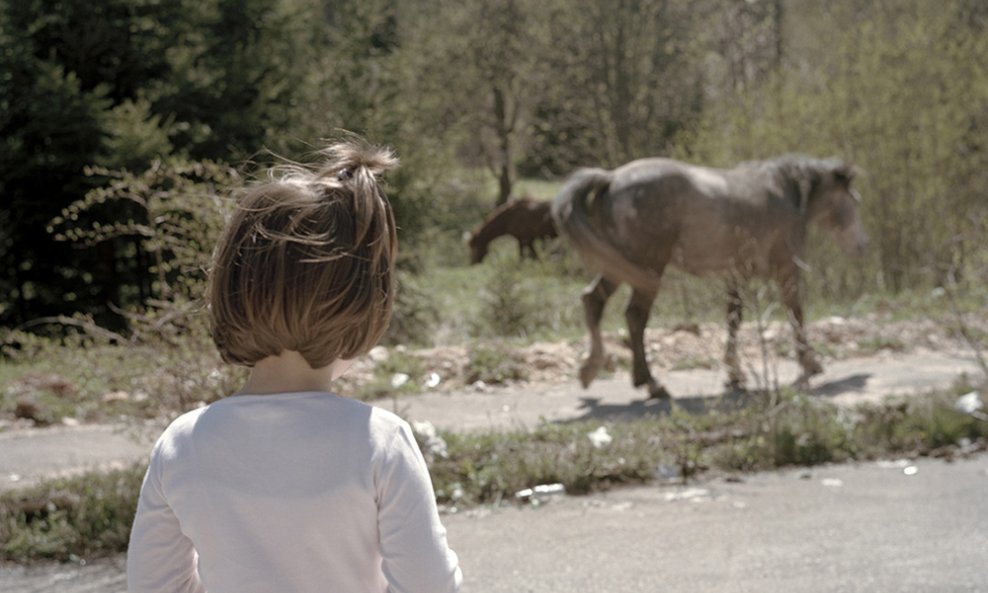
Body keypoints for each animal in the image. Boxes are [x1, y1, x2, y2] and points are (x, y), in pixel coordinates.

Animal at [552, 155, 868, 400]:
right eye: (852, 200)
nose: (860, 246)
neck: (785, 193)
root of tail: (612, 177)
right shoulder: (787, 269)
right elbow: (796, 315)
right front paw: (809, 366)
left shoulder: (736, 275)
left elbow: (734, 317)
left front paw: (734, 374)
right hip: (647, 267)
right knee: (635, 317)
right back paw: (652, 384)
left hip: (621, 266)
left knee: (593, 301)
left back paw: (592, 369)